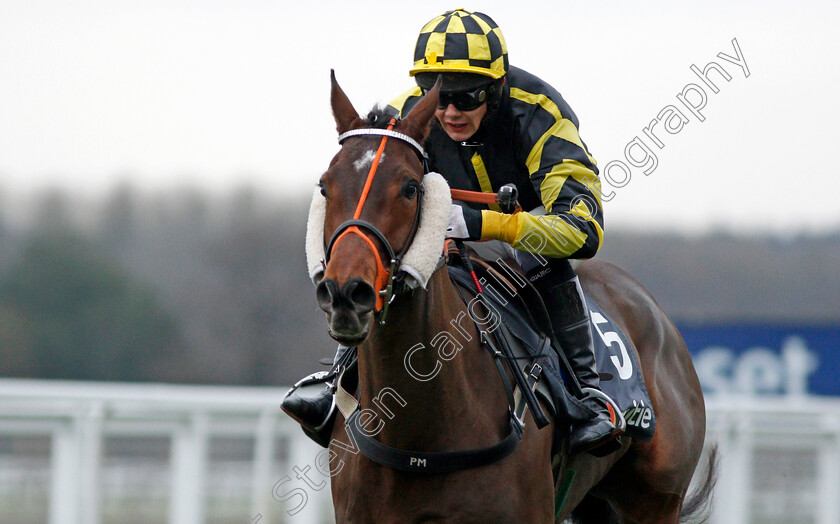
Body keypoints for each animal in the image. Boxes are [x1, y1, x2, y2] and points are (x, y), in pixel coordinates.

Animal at [308, 70, 716, 524]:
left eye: (410, 188)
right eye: (325, 186)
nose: (347, 292)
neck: (418, 434)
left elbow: (579, 217)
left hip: (656, 501)